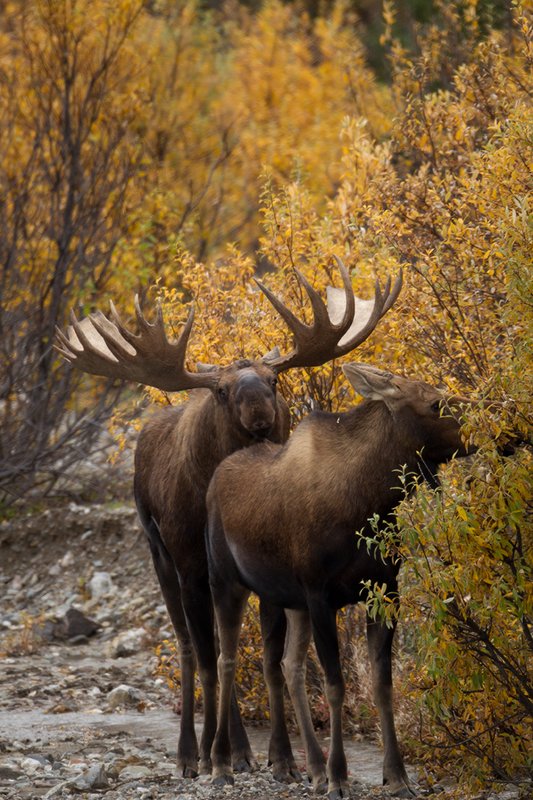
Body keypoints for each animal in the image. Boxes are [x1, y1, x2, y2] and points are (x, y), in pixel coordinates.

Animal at [55, 257, 402, 782]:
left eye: (274, 380)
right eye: (220, 389)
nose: (260, 411)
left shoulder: (269, 572)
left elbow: (269, 660)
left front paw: (282, 757)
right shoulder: (194, 565)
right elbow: (209, 658)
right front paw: (211, 754)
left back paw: (237, 748)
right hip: (161, 556)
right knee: (188, 647)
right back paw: (192, 751)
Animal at [206, 360, 474, 799]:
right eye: (435, 403)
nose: (503, 421)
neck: (371, 501)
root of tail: (216, 474)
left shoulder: (384, 590)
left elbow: (382, 684)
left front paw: (396, 775)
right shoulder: (320, 595)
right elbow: (335, 686)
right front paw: (339, 777)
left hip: (286, 599)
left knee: (289, 665)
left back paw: (309, 767)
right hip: (227, 581)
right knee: (225, 659)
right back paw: (222, 764)